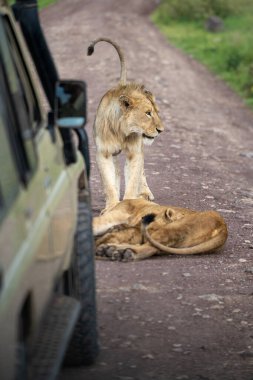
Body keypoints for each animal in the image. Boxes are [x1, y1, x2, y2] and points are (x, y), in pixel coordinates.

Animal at [87, 37, 164, 211]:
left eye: (156, 112)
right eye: (148, 113)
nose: (161, 130)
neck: (121, 132)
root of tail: (122, 85)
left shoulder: (134, 153)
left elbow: (133, 180)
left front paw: (130, 202)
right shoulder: (104, 153)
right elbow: (109, 184)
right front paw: (111, 206)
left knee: (141, 172)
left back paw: (145, 194)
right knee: (116, 173)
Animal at [93, 199, 227, 262]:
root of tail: (224, 228)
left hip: (173, 229)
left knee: (149, 247)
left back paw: (115, 251)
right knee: (153, 247)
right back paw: (112, 249)